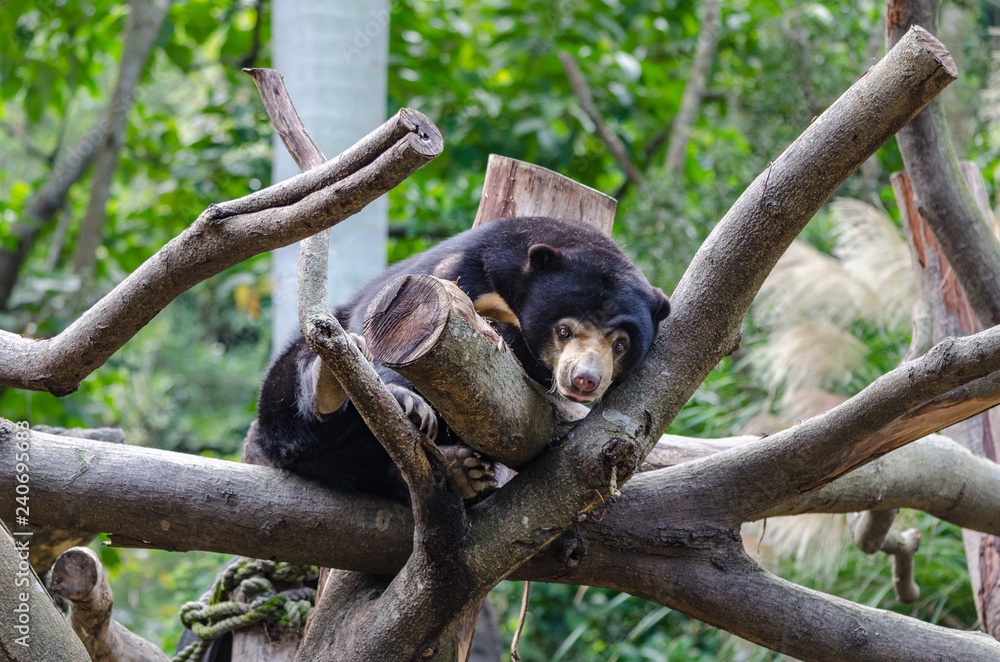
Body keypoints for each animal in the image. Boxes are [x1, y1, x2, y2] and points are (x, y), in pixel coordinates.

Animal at [244, 216, 670, 501]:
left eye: (620, 344)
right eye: (564, 330)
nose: (584, 379)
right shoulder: (453, 267)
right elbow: (378, 320)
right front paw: (408, 401)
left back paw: (464, 473)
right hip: (281, 401)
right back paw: (330, 385)